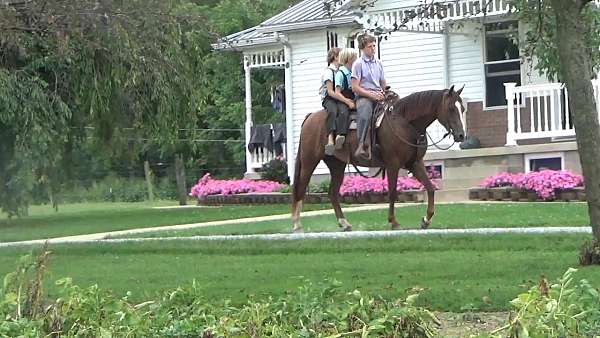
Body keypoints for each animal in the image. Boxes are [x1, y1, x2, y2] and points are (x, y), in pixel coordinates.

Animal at [292, 84, 466, 232]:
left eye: (463, 108)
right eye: (451, 108)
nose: (461, 135)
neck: (405, 123)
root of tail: (310, 118)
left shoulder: (415, 164)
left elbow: (430, 188)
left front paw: (426, 220)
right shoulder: (393, 164)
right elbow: (392, 192)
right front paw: (394, 222)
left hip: (337, 165)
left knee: (333, 193)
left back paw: (344, 223)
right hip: (309, 162)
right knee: (301, 188)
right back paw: (296, 224)